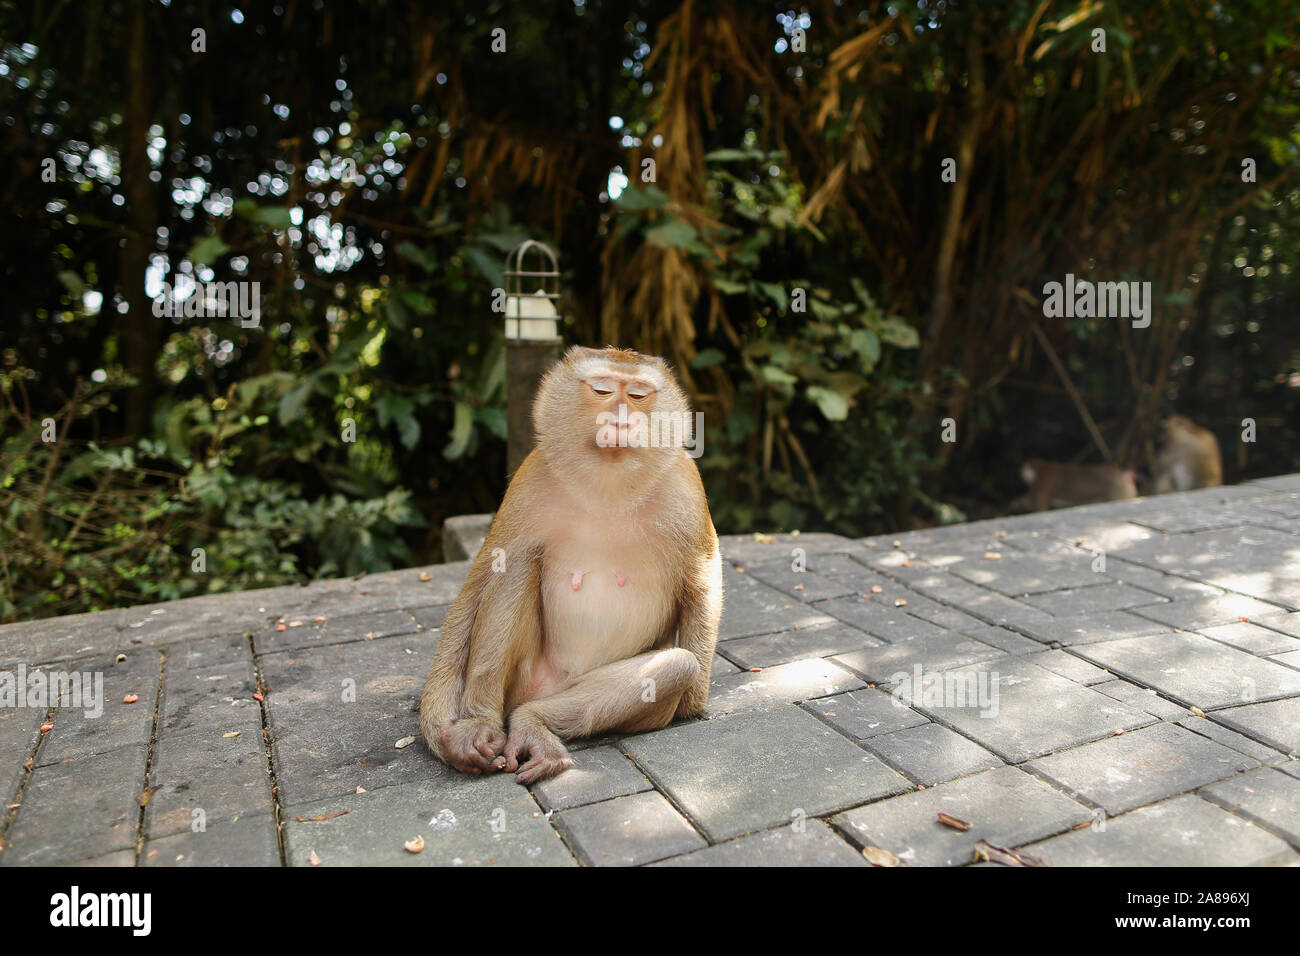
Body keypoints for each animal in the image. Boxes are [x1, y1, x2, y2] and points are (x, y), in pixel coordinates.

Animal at [416, 348, 722, 780]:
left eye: (639, 395)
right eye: (602, 390)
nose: (621, 418)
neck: (609, 484)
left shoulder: (685, 485)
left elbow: (702, 578)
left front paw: (693, 702)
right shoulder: (530, 477)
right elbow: (479, 582)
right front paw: (447, 727)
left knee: (676, 666)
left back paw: (533, 723)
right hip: (524, 679)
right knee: (515, 565)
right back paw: (482, 722)